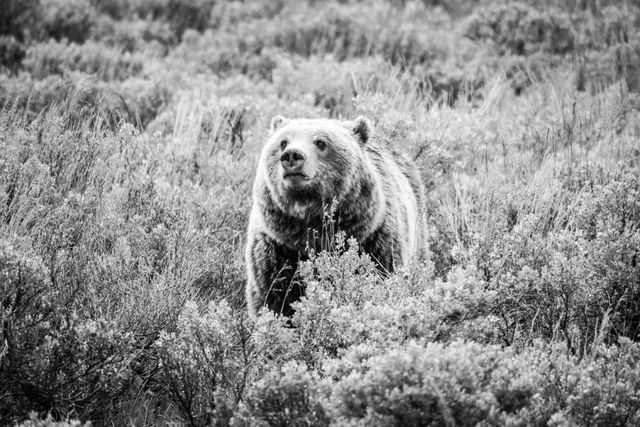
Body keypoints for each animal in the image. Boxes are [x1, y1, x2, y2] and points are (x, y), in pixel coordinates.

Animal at [245, 116, 424, 318]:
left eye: (321, 142)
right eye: (283, 142)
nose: (291, 155)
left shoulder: (375, 240)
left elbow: (381, 275)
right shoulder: (276, 248)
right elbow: (273, 297)